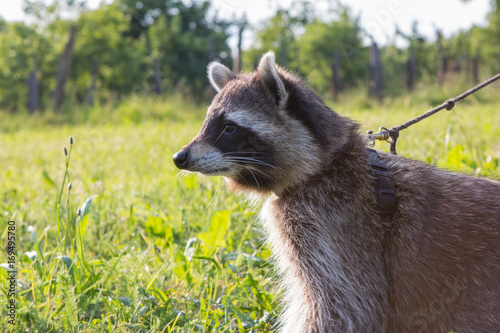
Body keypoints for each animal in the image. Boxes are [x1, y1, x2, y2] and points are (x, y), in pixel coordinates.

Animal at [173, 50, 500, 330]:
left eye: (228, 127)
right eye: (207, 122)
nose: (179, 157)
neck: (323, 165)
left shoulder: (333, 229)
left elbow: (346, 308)